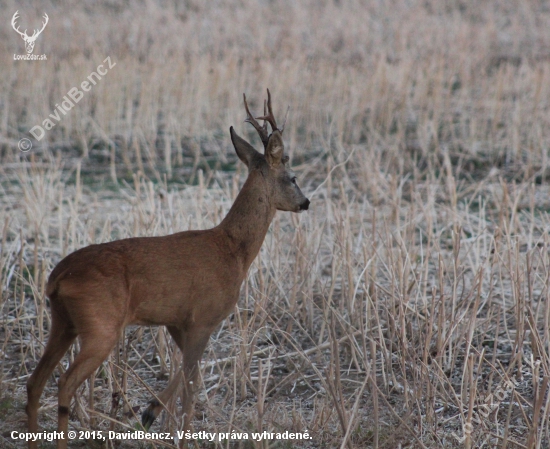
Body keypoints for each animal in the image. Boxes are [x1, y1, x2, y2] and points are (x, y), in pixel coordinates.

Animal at [27, 89, 310, 446]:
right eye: (293, 177)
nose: (305, 202)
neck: (233, 250)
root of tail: (56, 278)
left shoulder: (178, 321)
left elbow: (192, 376)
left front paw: (157, 416)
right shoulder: (204, 317)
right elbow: (190, 379)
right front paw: (158, 417)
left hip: (62, 321)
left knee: (35, 381)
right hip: (100, 325)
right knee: (64, 382)